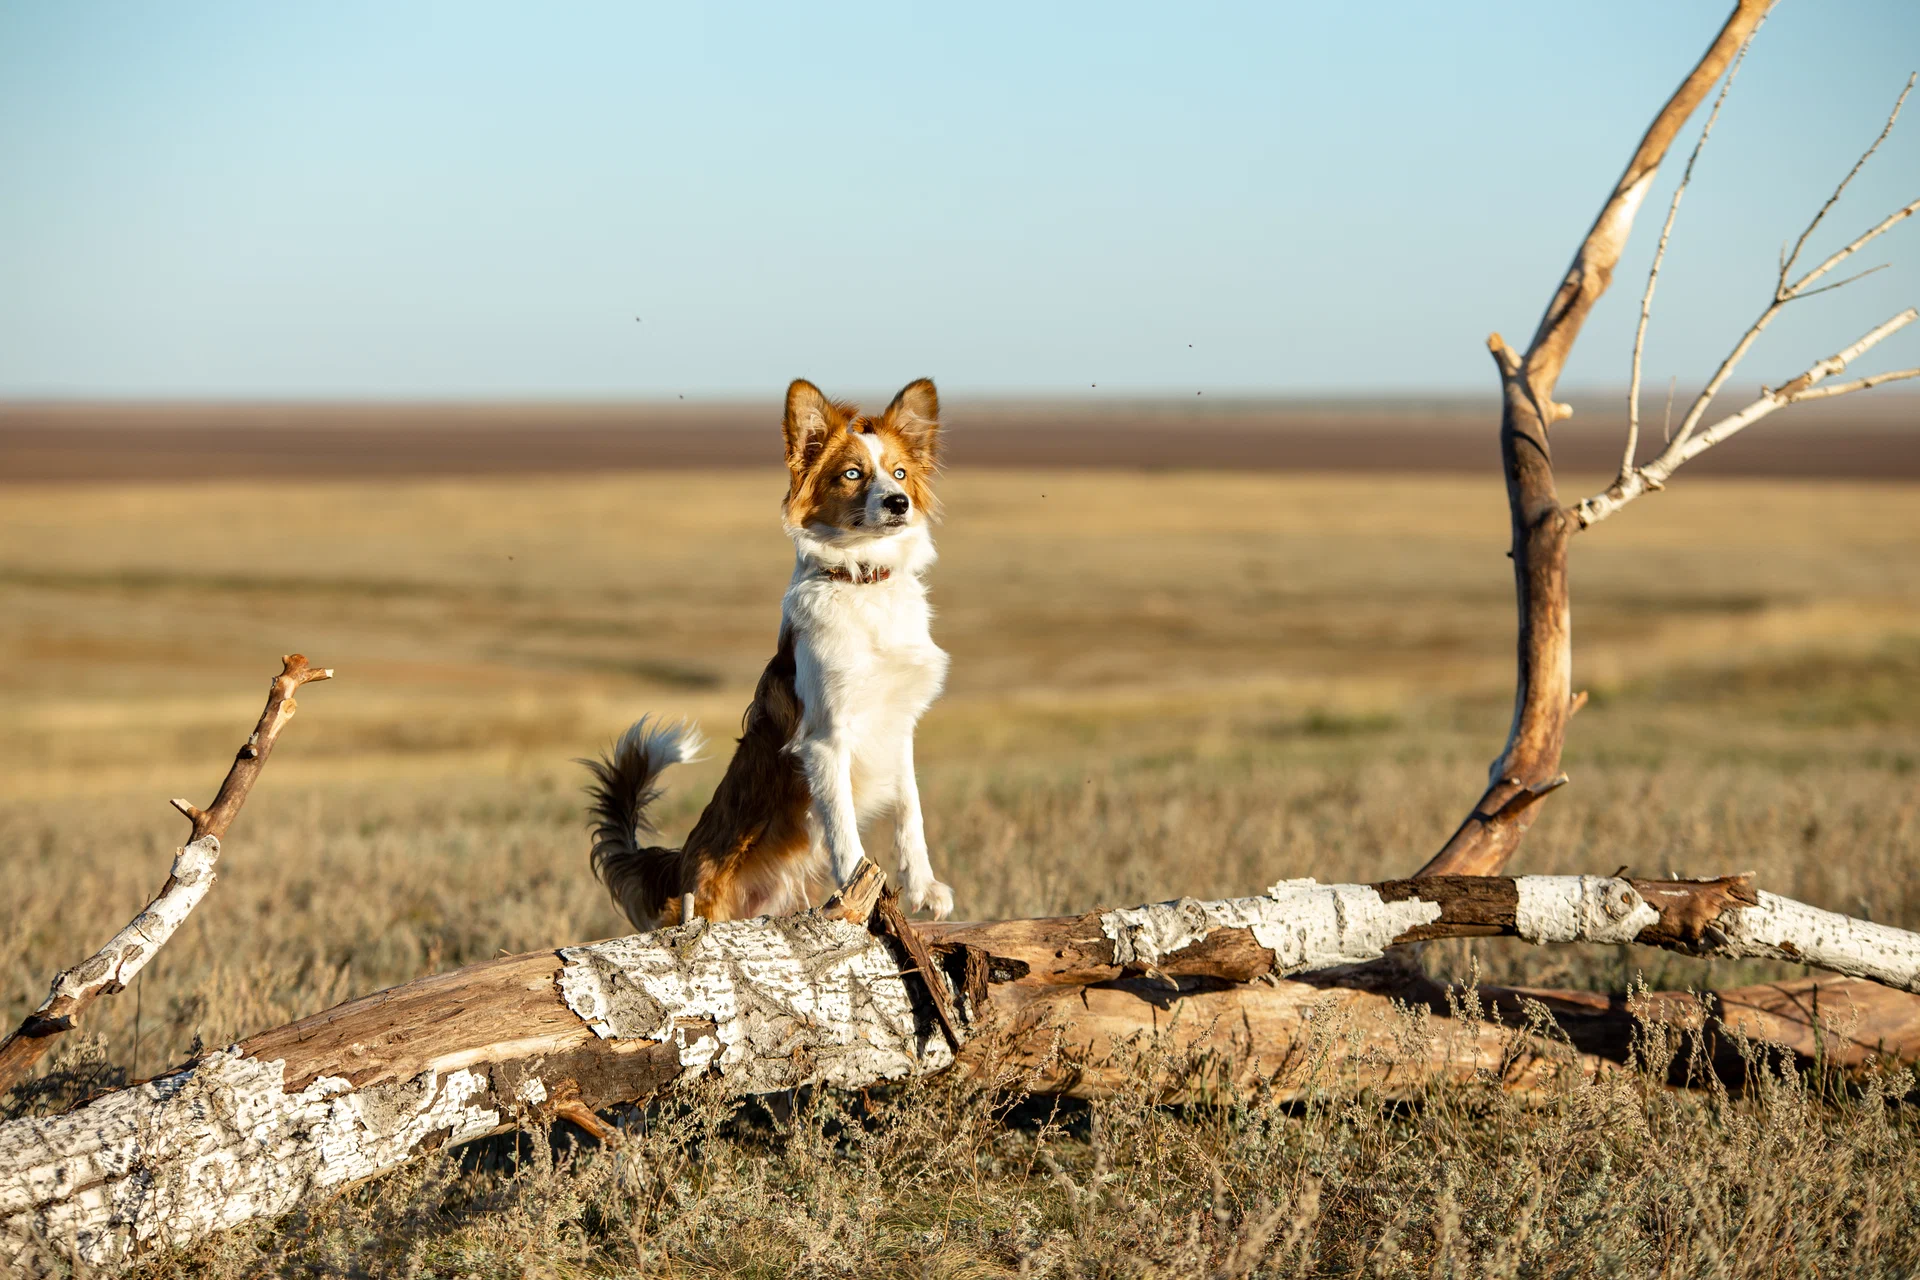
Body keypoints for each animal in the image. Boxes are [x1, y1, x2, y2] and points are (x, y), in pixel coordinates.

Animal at [576, 376, 952, 924]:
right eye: (852, 474)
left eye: (900, 472)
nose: (899, 502)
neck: (862, 582)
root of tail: (675, 867)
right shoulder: (826, 738)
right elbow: (843, 829)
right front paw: (857, 892)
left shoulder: (898, 725)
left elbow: (912, 813)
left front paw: (924, 887)